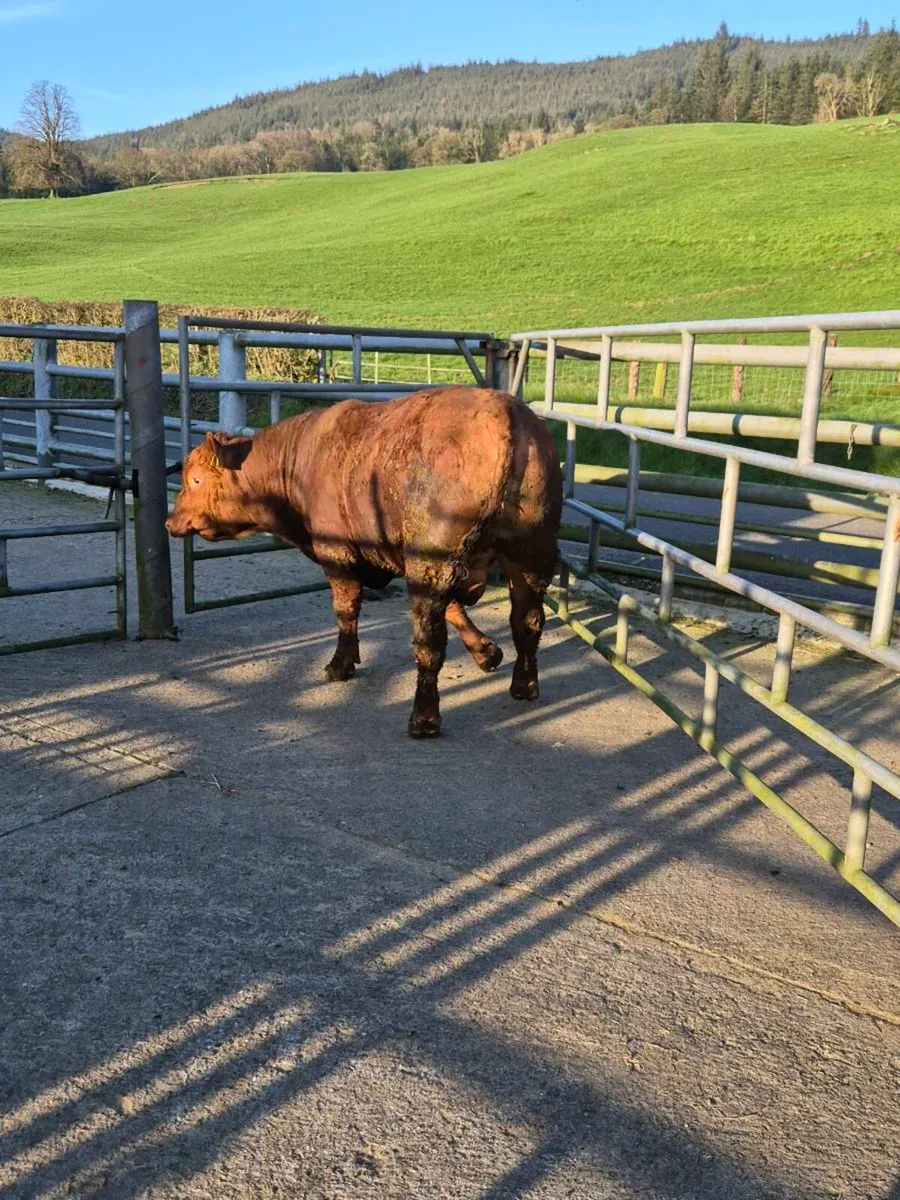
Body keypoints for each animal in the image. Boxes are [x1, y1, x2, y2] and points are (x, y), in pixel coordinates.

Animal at [166, 386, 562, 737]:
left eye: (195, 480)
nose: (171, 522)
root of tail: (504, 414)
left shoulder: (338, 555)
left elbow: (346, 610)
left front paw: (339, 664)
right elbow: (455, 609)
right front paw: (486, 652)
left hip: (433, 561)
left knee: (429, 643)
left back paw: (423, 719)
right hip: (530, 554)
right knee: (527, 621)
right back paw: (524, 685)